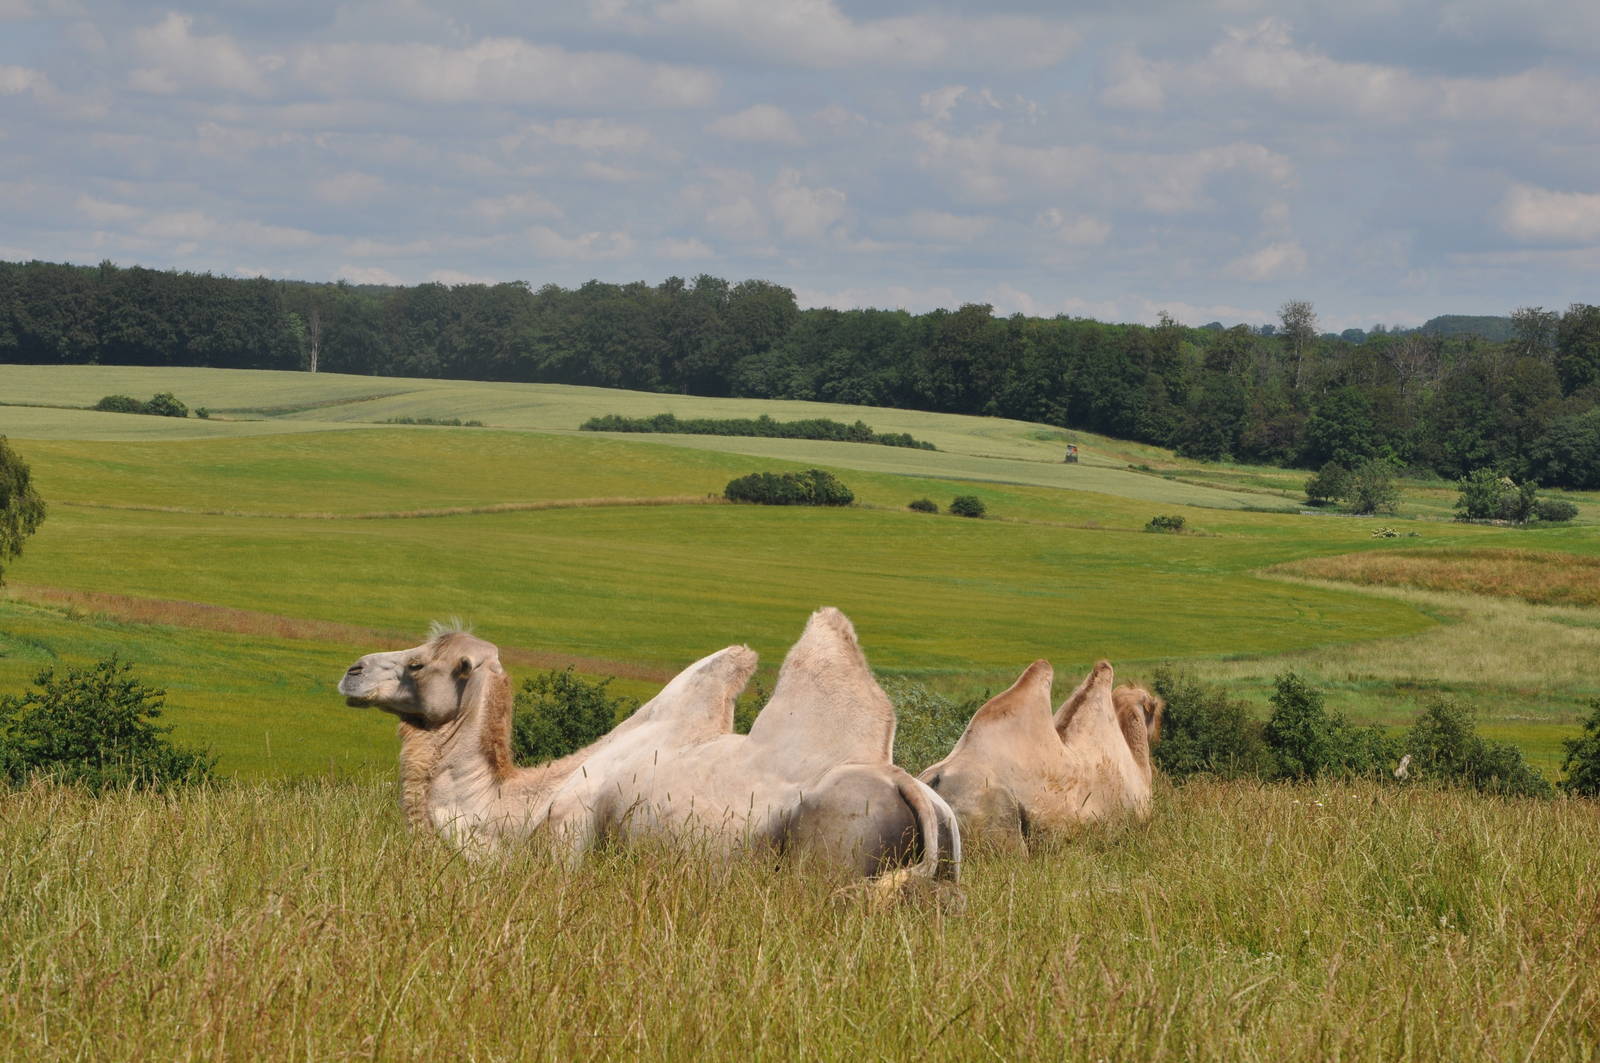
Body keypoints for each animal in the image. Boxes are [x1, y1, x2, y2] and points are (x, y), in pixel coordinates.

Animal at [338, 609, 960, 892]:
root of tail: (907, 785)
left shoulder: (568, 843)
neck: (512, 808)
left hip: (831, 863)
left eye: (420, 663)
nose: (353, 670)